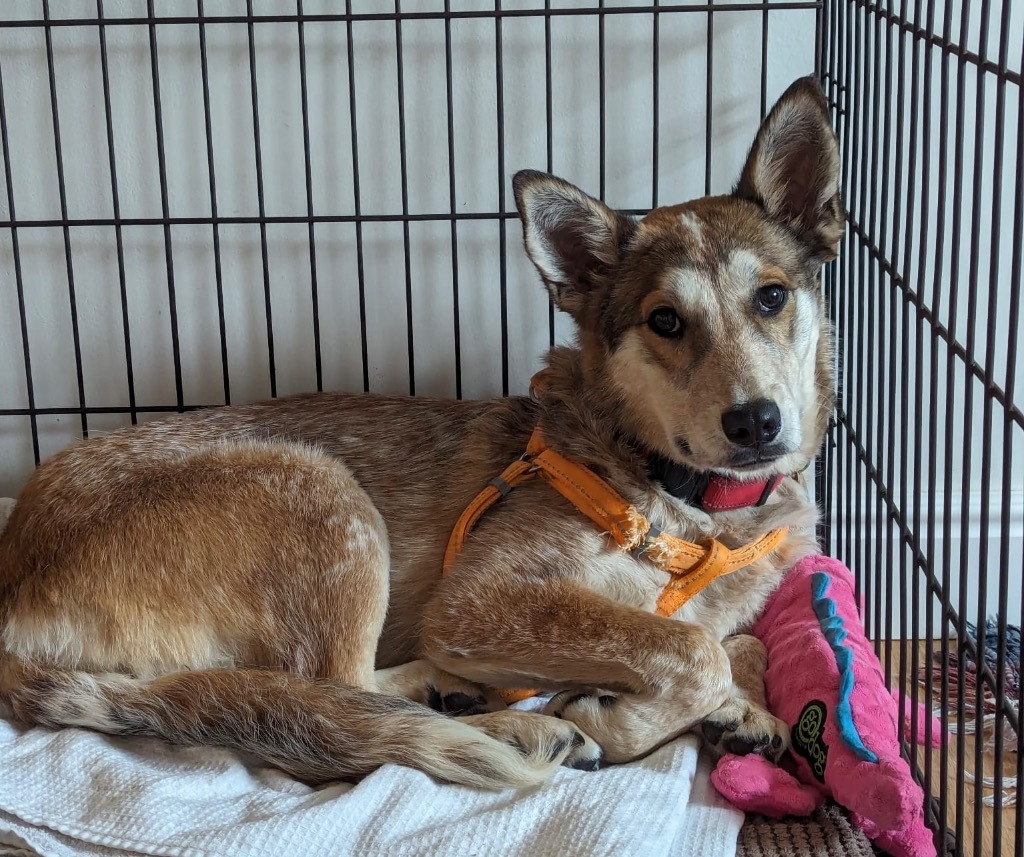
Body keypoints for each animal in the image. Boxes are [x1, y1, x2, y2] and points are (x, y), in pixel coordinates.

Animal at [0, 78, 839, 790]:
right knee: (331, 698)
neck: (689, 502)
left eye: (772, 297)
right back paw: (504, 719)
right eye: (665, 320)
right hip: (318, 492)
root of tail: (12, 588)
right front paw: (619, 716)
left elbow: (739, 643)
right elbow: (691, 649)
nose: (757, 420)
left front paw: (741, 709)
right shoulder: (478, 600)